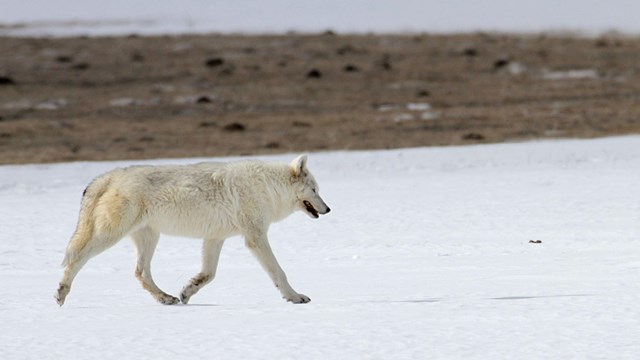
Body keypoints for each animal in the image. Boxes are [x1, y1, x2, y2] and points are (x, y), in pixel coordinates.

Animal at [55, 155, 330, 306]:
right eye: (315, 190)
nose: (328, 209)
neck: (268, 187)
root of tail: (108, 176)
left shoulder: (215, 238)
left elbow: (208, 274)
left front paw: (187, 292)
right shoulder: (255, 238)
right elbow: (278, 272)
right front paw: (295, 297)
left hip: (149, 238)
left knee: (140, 272)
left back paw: (166, 298)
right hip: (111, 236)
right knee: (77, 259)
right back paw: (61, 293)